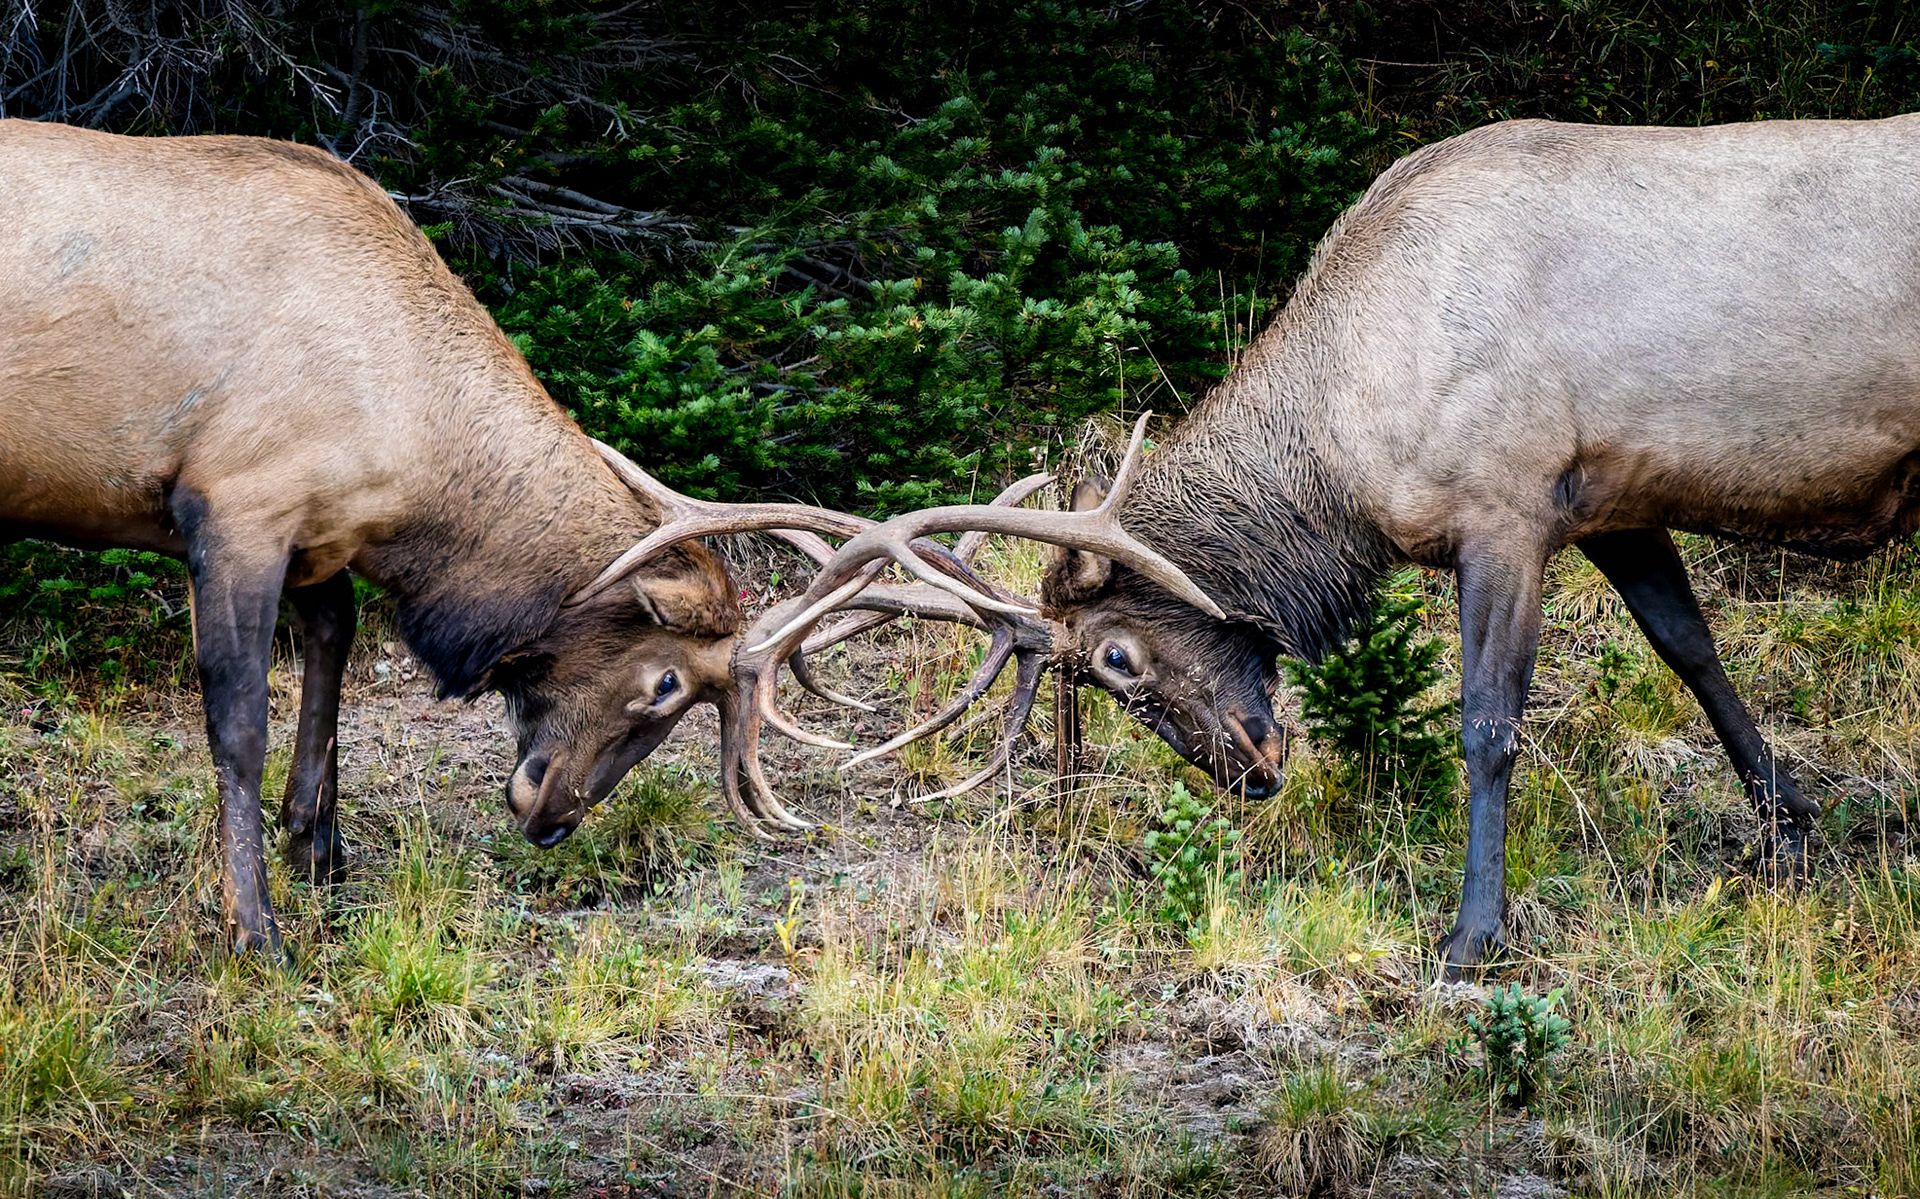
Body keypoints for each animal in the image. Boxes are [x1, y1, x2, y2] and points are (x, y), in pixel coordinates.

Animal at [642, 115, 1920, 978]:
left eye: (1117, 660)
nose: (1251, 769)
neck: (1348, 447)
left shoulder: (1504, 504)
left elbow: (1489, 722)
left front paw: (1471, 933)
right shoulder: (1608, 497)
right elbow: (1690, 647)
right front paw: (1787, 830)